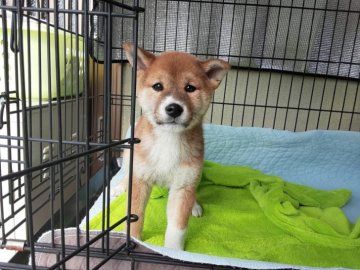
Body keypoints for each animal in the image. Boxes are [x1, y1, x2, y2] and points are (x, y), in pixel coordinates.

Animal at [114, 43, 229, 250]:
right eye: (158, 86)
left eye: (190, 88)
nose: (174, 108)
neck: (169, 139)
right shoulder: (141, 180)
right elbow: (135, 216)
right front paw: (133, 240)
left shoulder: (183, 185)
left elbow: (178, 227)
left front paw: (174, 251)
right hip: (130, 159)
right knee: (127, 173)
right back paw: (120, 187)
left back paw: (195, 205)